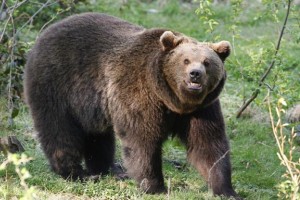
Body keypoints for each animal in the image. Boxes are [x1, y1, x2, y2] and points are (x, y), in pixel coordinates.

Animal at [23, 13, 240, 199]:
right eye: (185, 60)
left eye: (207, 62)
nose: (195, 74)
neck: (174, 100)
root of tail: (46, 32)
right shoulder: (140, 93)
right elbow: (141, 141)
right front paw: (154, 186)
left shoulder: (202, 108)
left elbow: (208, 145)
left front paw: (226, 190)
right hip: (56, 84)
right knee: (59, 130)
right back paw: (75, 172)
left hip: (91, 106)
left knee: (99, 136)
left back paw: (108, 169)